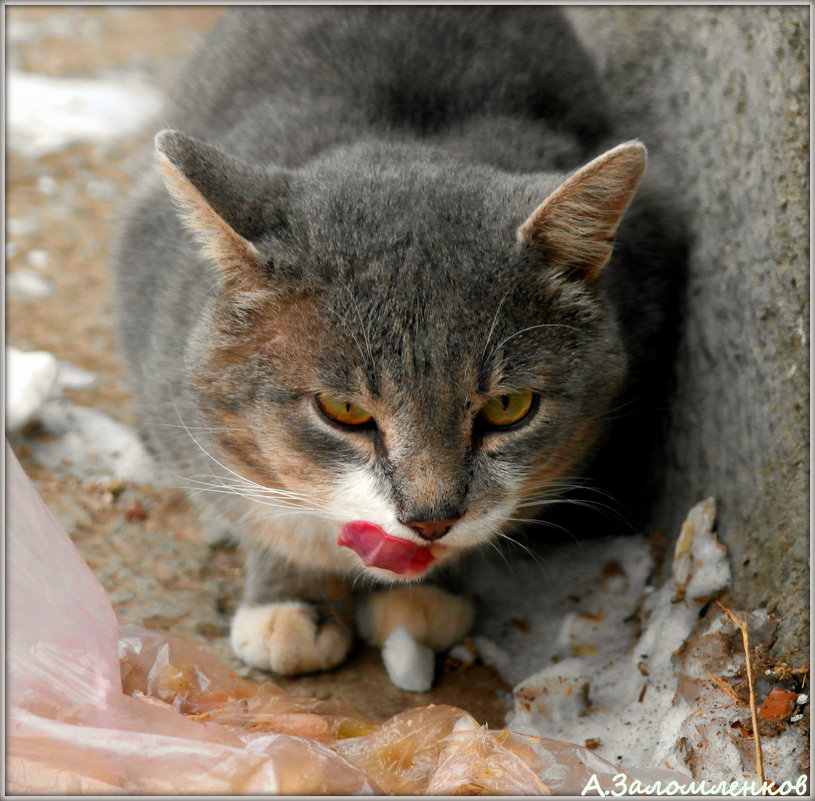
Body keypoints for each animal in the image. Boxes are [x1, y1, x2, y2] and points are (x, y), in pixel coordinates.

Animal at [111, 7, 684, 676]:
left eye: (509, 408)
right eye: (344, 410)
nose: (431, 521)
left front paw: (428, 598)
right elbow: (265, 507)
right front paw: (293, 600)